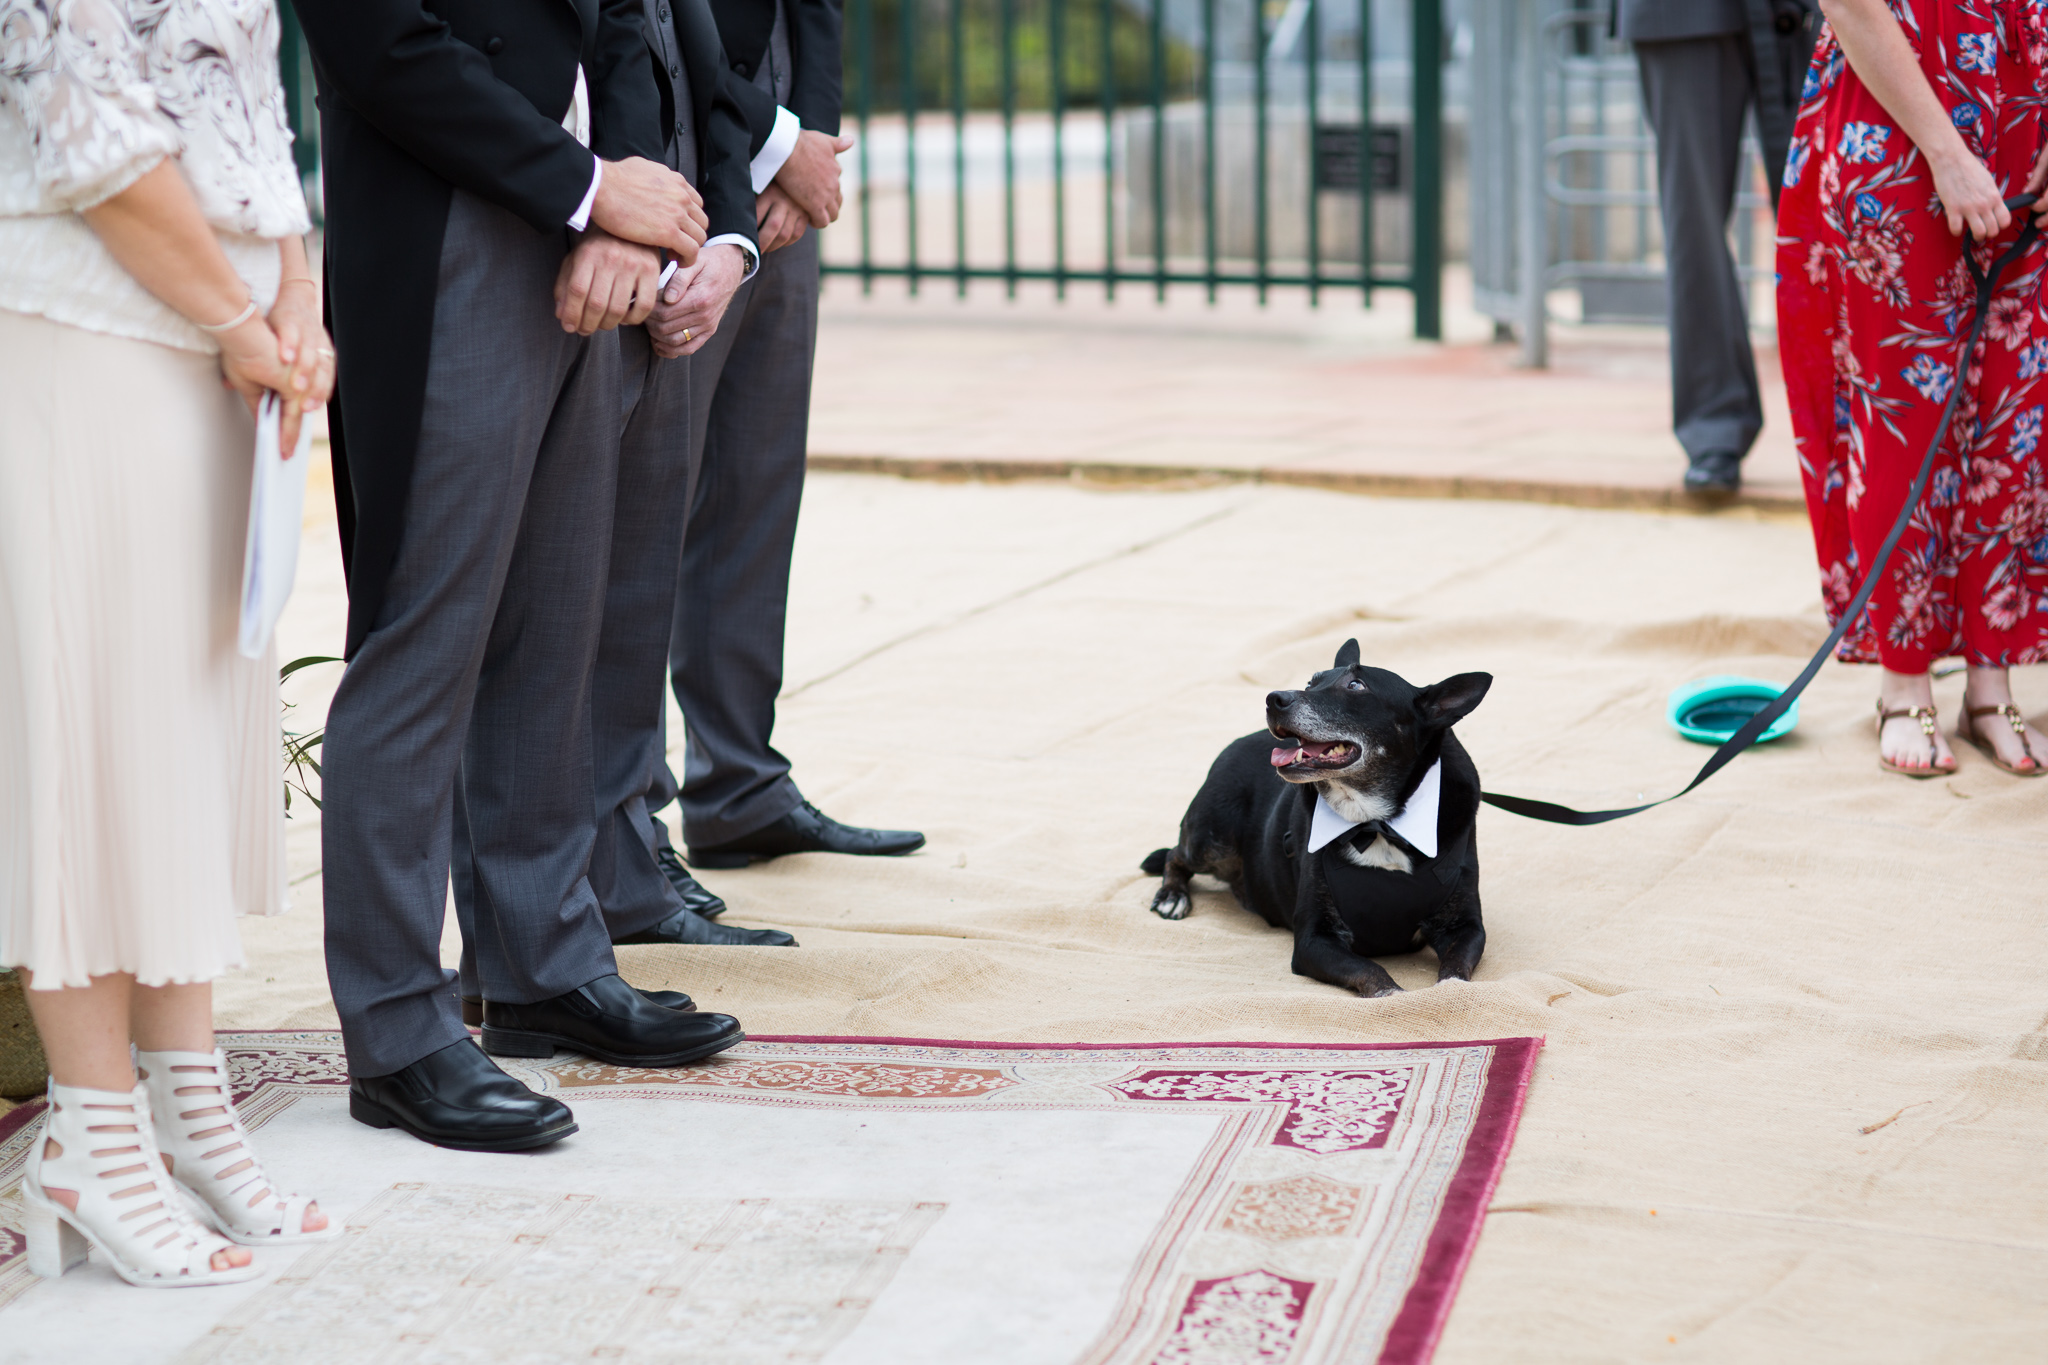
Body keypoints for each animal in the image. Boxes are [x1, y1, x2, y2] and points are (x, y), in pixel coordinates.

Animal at [1138, 642, 1490, 994]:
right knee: (1175, 855)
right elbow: (1371, 972)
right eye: (1310, 683)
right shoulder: (1314, 939)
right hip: (1213, 839)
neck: (1376, 821)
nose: (1273, 699)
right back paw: (1172, 896)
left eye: (1356, 686)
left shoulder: (1466, 927)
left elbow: (1455, 970)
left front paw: (1450, 992)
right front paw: (1396, 995)